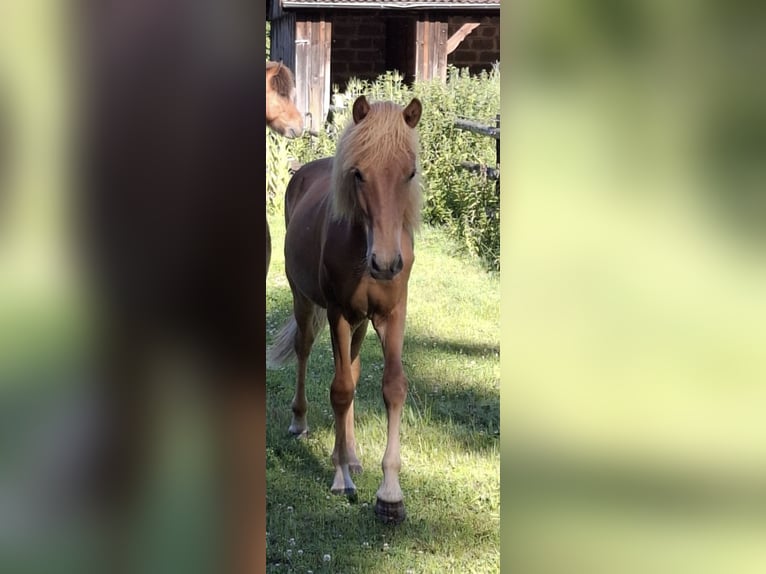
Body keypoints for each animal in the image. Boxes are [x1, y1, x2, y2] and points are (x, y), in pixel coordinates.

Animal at [268, 95, 423, 524]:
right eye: (358, 174)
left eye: (410, 173)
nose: (385, 263)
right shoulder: (336, 311)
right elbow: (339, 391)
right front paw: (340, 478)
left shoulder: (391, 316)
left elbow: (392, 387)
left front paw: (390, 495)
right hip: (305, 302)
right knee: (305, 351)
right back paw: (301, 423)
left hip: (360, 323)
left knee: (352, 368)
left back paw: (351, 455)